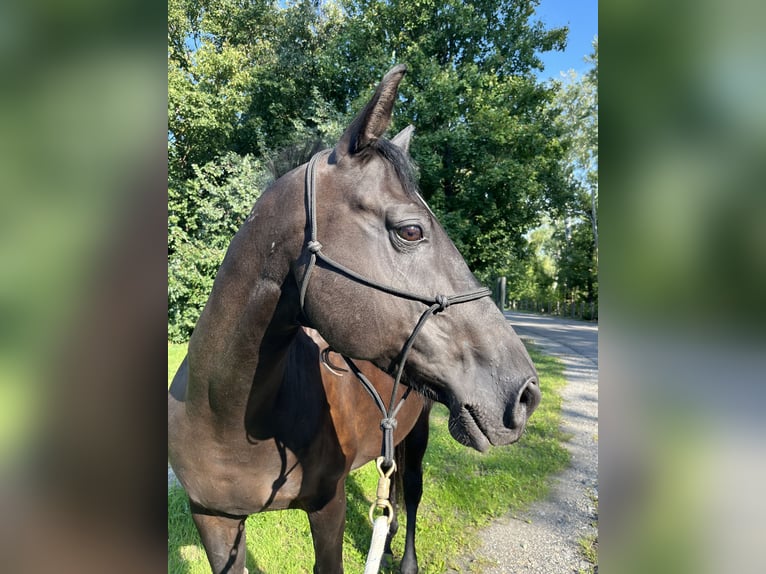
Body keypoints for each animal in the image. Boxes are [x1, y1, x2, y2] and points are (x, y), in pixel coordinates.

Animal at [168, 64, 541, 574]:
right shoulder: (214, 521)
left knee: (412, 492)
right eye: (411, 230)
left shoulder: (329, 504)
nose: (525, 393)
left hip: (418, 434)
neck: (223, 417)